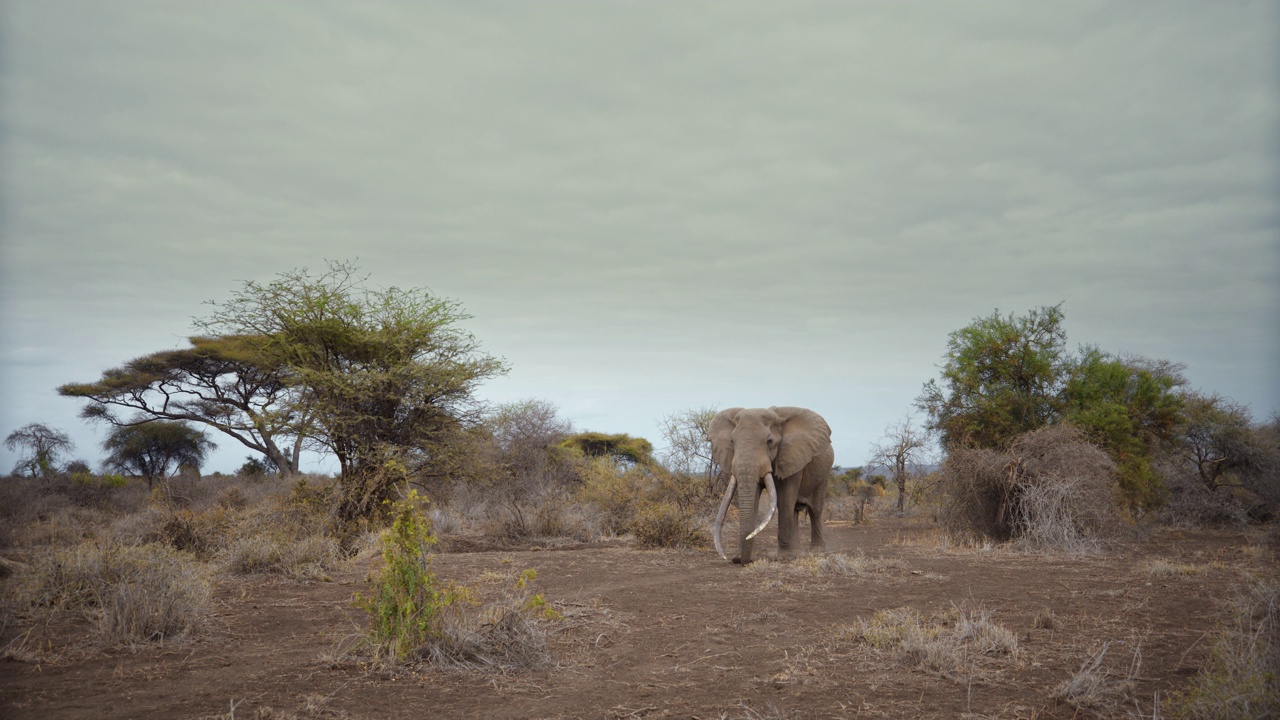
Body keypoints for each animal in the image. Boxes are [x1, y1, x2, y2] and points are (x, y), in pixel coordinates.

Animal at [706, 407, 834, 563]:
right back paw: (797, 552)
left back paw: (816, 551)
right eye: (731, 441)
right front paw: (740, 557)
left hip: (824, 474)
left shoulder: (792, 457)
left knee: (815, 509)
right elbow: (754, 499)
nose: (734, 560)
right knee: (795, 510)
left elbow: (785, 500)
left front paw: (783, 558)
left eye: (769, 441)